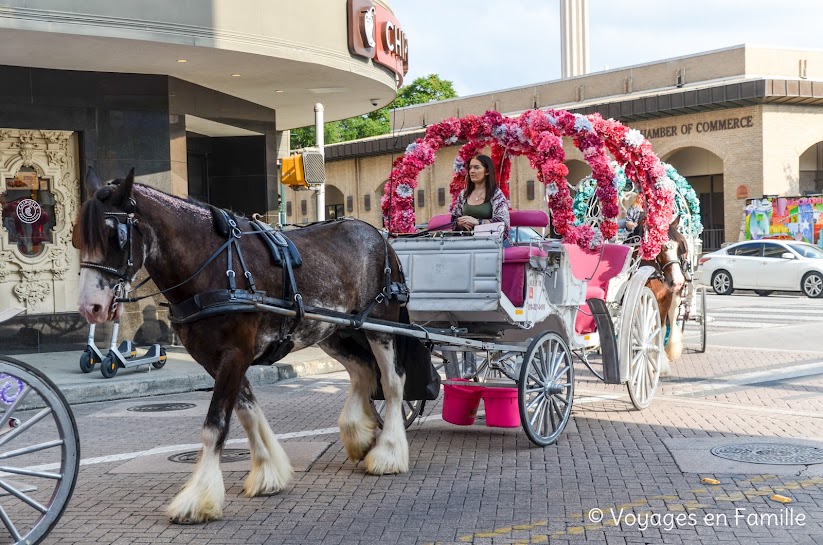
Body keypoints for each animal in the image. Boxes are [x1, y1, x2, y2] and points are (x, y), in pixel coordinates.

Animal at [74, 167, 412, 524]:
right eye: (77, 238)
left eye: (116, 237)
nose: (90, 308)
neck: (214, 266)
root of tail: (379, 235)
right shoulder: (213, 358)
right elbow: (246, 412)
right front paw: (268, 473)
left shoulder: (236, 353)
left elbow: (215, 424)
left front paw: (198, 499)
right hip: (333, 331)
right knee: (363, 370)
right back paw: (360, 435)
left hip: (381, 327)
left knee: (392, 381)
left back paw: (388, 453)